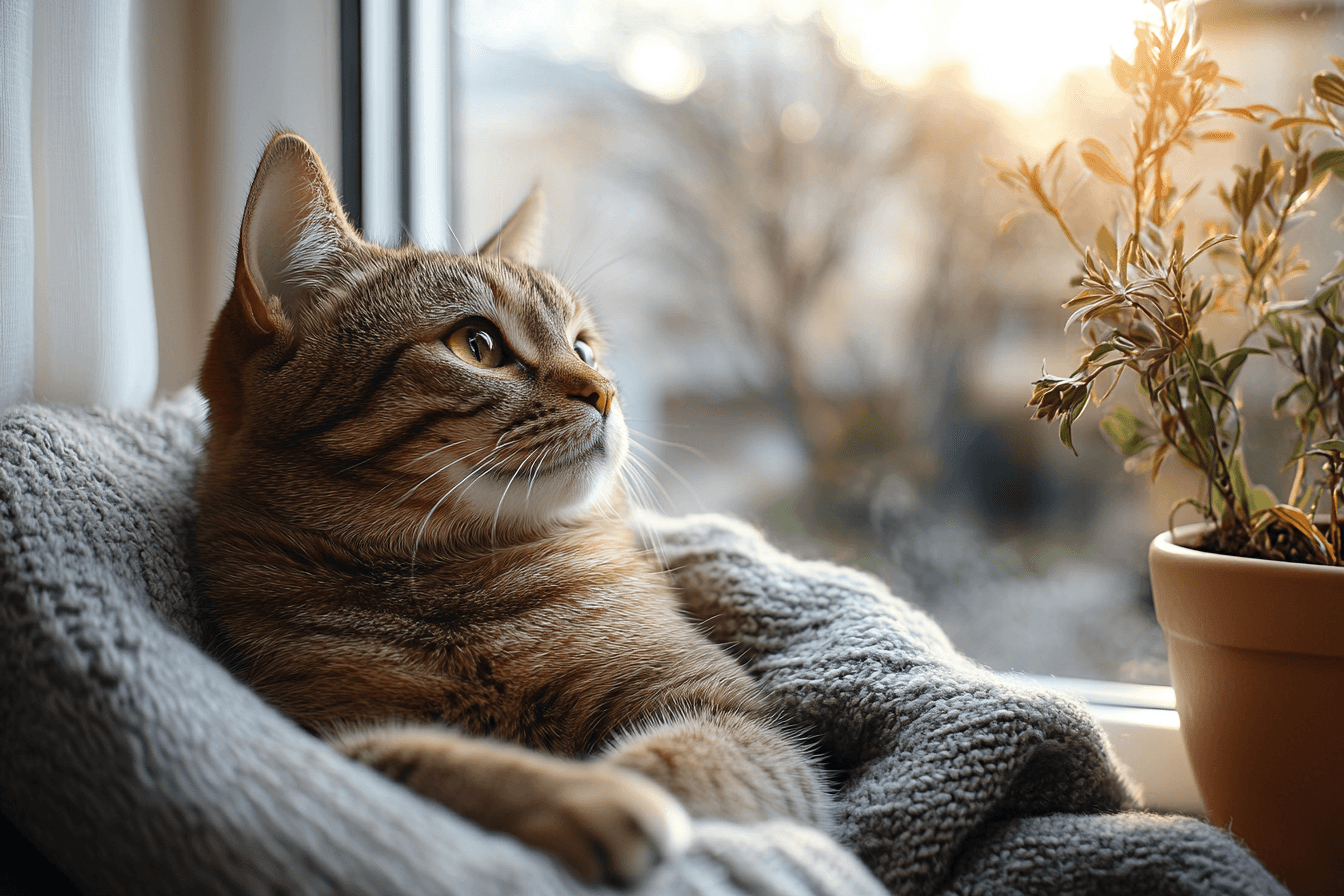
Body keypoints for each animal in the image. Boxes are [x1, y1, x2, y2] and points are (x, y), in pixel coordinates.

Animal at [196, 132, 833, 881]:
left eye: (585, 346)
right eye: (478, 345)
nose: (605, 391)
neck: (459, 583)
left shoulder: (734, 719)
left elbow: (674, 764)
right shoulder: (313, 730)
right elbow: (417, 759)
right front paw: (577, 796)